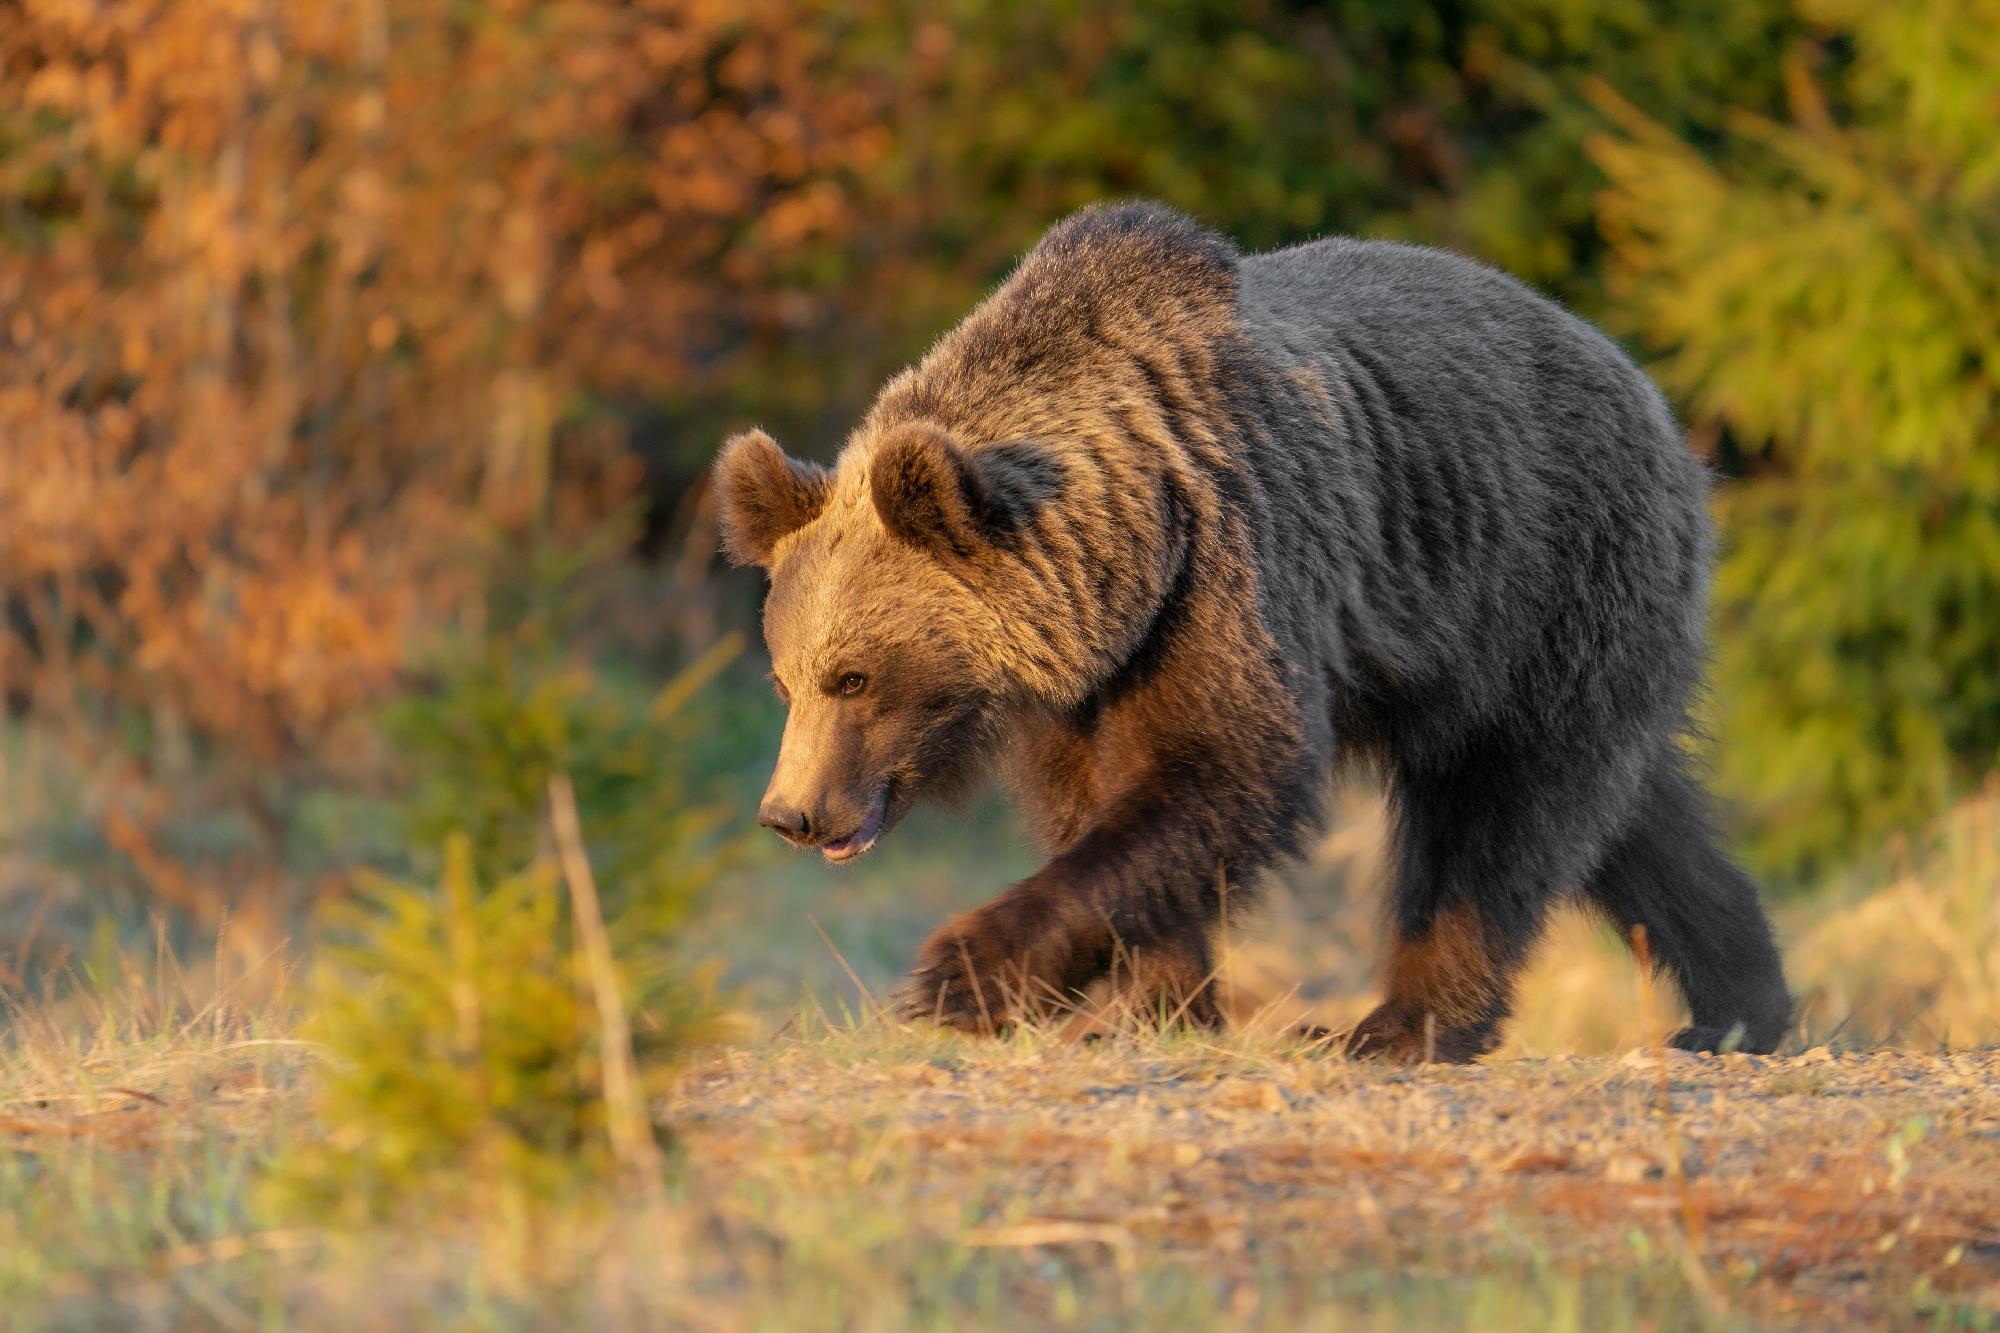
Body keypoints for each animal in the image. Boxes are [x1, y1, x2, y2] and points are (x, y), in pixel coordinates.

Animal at [712, 200, 1792, 1056]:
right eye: (785, 678)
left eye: (853, 676)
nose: (792, 812)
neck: (1127, 550)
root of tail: (1649, 390)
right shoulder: (1091, 678)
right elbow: (1102, 806)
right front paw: (1152, 1005)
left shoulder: (1231, 565)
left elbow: (1229, 766)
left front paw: (959, 974)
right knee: (1632, 815)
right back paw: (1739, 1004)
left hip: (1541, 579)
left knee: (1494, 817)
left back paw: (1401, 1023)